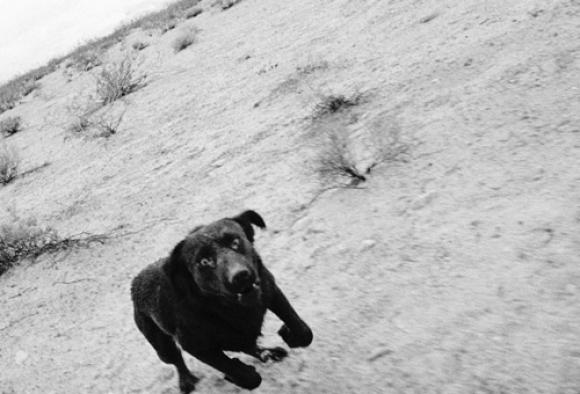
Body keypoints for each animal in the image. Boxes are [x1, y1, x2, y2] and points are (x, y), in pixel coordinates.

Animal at [131, 209, 312, 390]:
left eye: (235, 242)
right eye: (204, 261)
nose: (240, 276)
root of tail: (136, 279)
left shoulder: (271, 291)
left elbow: (303, 332)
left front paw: (289, 334)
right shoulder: (196, 347)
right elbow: (246, 375)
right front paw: (238, 375)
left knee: (250, 346)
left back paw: (269, 353)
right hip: (162, 347)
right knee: (177, 361)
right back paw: (186, 380)